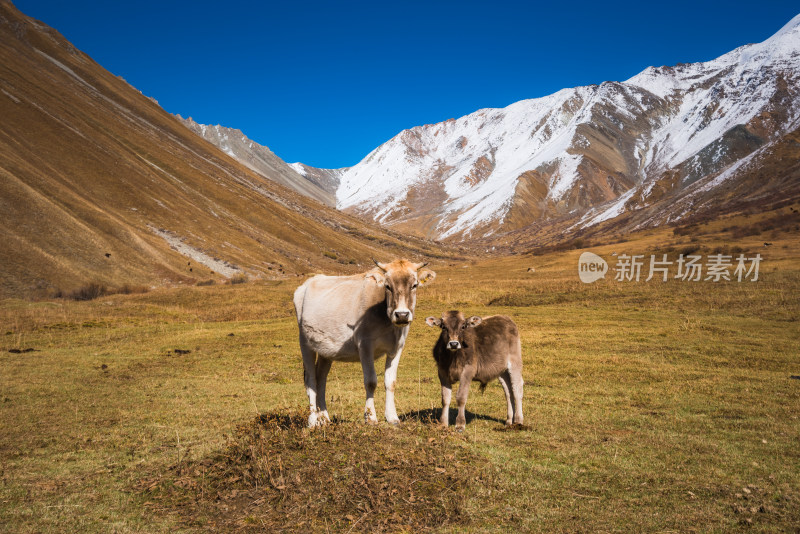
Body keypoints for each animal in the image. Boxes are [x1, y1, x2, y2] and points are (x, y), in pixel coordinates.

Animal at [294, 258, 434, 430]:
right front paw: (371, 417)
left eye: (414, 285)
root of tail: (307, 283)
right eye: (387, 286)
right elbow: (371, 381)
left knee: (321, 378)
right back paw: (313, 420)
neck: (388, 324)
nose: (401, 315)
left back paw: (324, 418)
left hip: (325, 350)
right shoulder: (365, 345)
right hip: (305, 343)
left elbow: (391, 382)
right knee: (311, 380)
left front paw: (392, 417)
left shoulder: (397, 347)